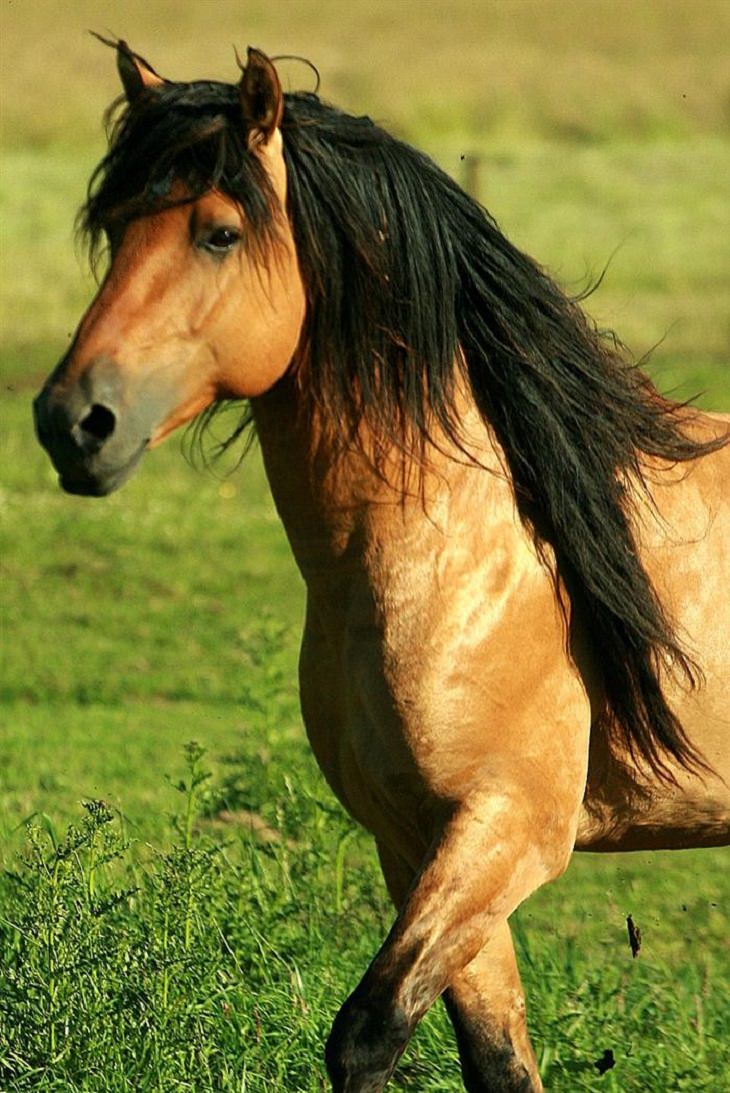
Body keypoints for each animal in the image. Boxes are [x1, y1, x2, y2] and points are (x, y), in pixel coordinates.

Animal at [31, 42, 725, 1093]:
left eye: (220, 232)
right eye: (114, 229)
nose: (74, 421)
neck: (465, 549)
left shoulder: (506, 831)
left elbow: (365, 1032)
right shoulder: (417, 841)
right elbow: (496, 1058)